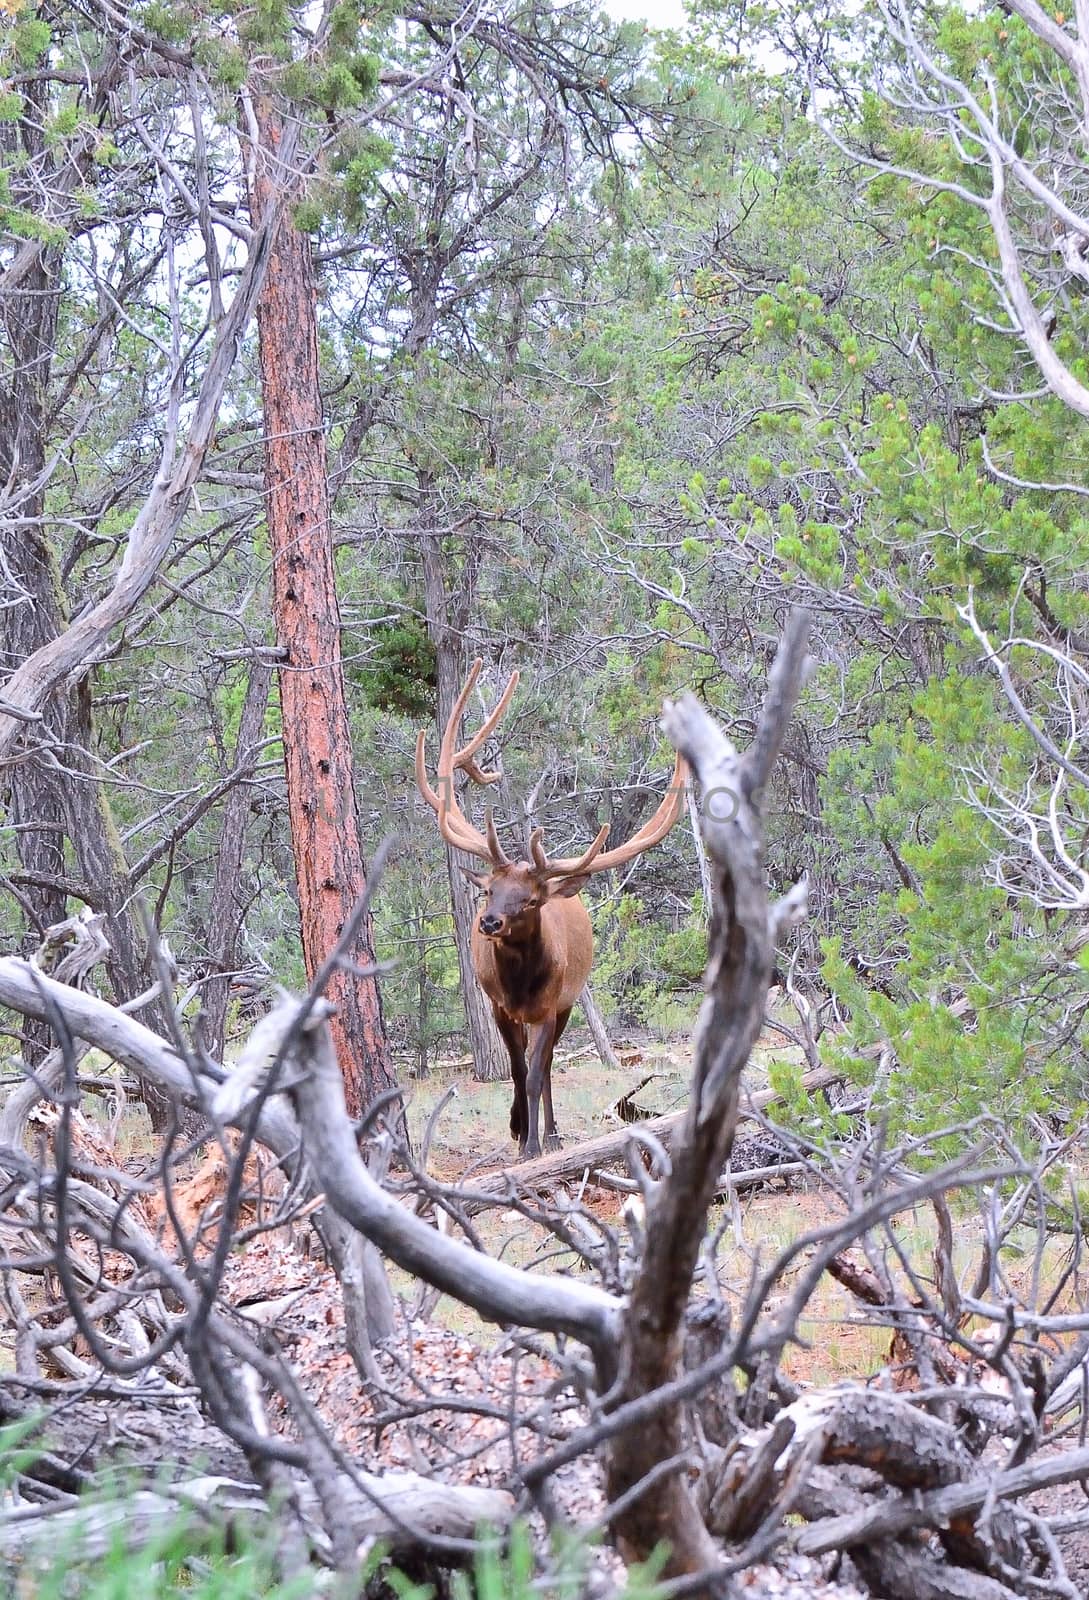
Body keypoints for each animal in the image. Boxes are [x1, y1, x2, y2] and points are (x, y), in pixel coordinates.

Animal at [415, 656, 687, 1158]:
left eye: (530, 900)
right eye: (489, 890)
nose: (489, 922)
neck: (520, 987)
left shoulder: (548, 1007)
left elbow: (538, 1072)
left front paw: (533, 1143)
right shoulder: (499, 1007)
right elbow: (518, 1071)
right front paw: (518, 1130)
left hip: (568, 1002)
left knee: (552, 1062)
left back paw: (554, 1133)